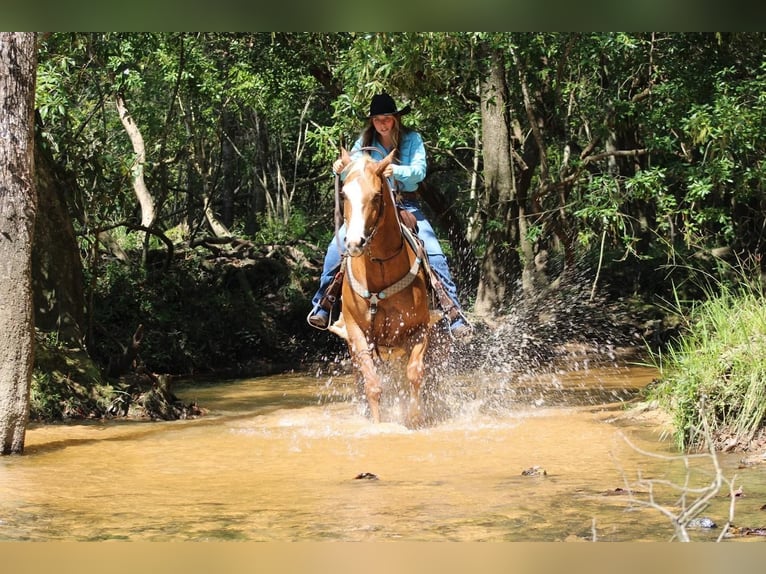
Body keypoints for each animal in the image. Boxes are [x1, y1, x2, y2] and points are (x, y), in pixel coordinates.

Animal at [330, 148, 438, 428]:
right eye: (344, 194)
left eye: (377, 195)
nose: (354, 243)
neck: (379, 272)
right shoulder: (358, 333)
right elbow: (373, 386)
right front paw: (378, 425)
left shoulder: (419, 329)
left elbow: (415, 374)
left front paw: (414, 419)